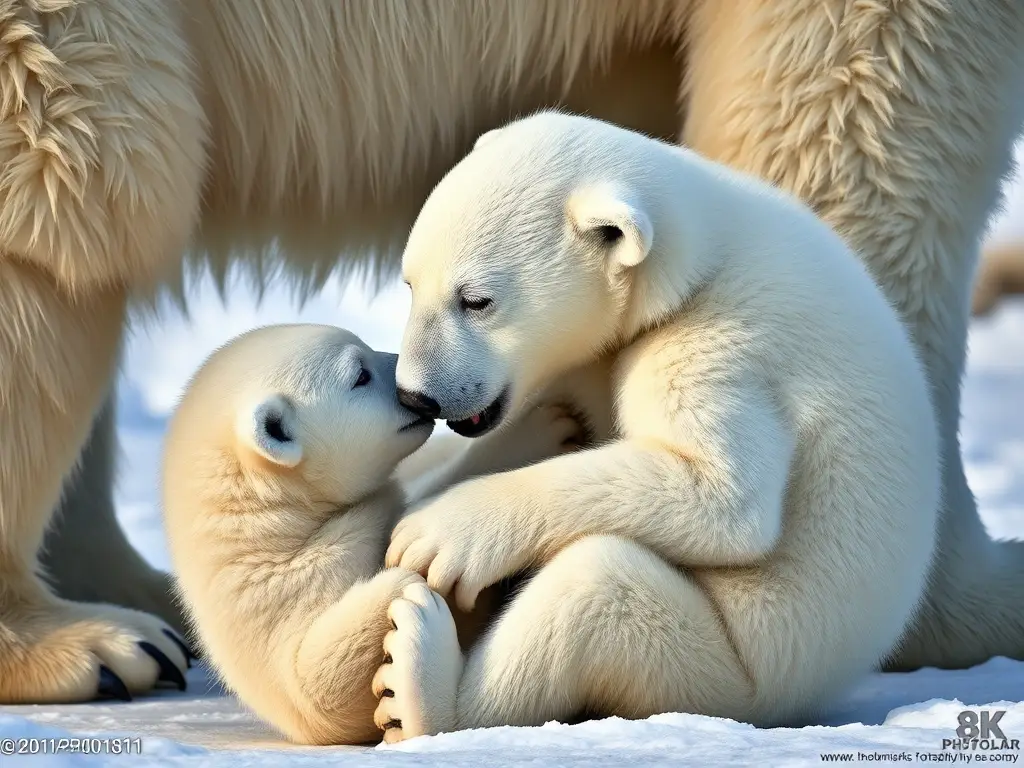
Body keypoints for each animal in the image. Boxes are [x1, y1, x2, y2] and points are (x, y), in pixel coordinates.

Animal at [161, 322, 593, 744]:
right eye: (360, 375)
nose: (416, 396)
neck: (270, 526)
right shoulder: (275, 604)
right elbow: (324, 682)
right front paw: (403, 581)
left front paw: (542, 426)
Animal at [375, 110, 942, 738]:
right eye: (409, 283)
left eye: (476, 300)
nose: (416, 394)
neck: (701, 253)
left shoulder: (715, 343)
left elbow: (724, 497)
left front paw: (439, 533)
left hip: (728, 674)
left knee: (596, 592)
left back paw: (420, 683)